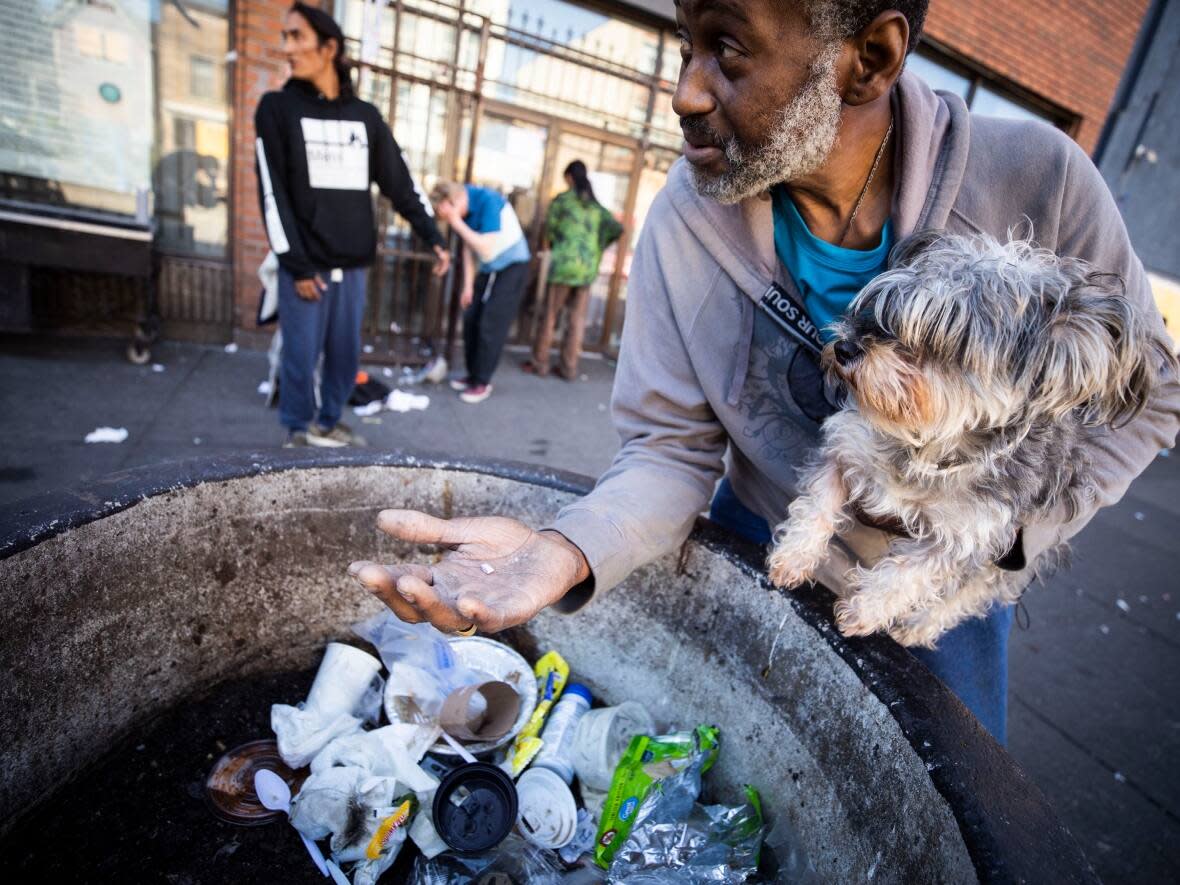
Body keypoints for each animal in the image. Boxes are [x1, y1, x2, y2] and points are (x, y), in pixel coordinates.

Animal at [769, 232, 1175, 646]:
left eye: (933, 335)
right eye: (885, 312)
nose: (846, 348)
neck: (926, 445)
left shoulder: (967, 538)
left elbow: (908, 575)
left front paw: (865, 610)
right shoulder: (845, 450)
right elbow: (817, 505)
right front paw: (794, 556)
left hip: (1002, 565)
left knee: (964, 596)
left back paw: (916, 627)